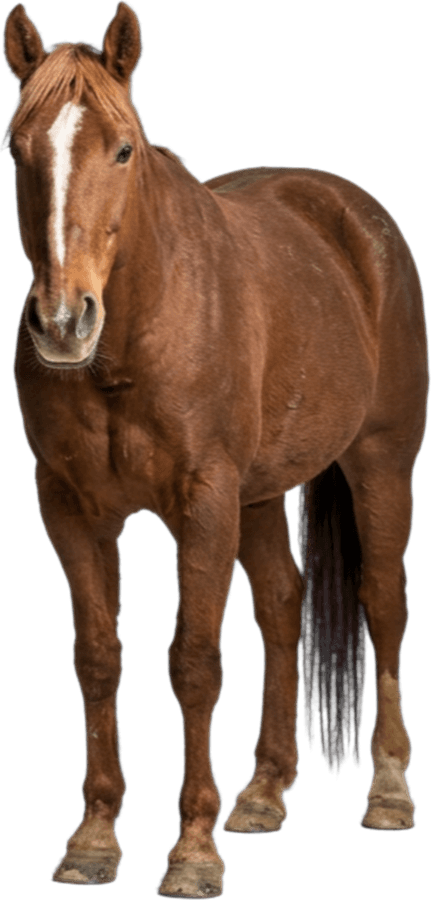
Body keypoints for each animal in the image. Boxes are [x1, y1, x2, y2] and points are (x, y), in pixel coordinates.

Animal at [3, 2, 428, 897]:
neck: (137, 334)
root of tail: (351, 215)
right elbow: (98, 659)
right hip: (260, 495)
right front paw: (93, 840)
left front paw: (191, 852)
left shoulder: (200, 507)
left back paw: (387, 791)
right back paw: (262, 792)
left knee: (385, 601)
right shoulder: (70, 509)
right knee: (282, 604)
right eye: (17, 148)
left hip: (381, 465)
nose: (62, 323)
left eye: (122, 149)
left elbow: (193, 662)